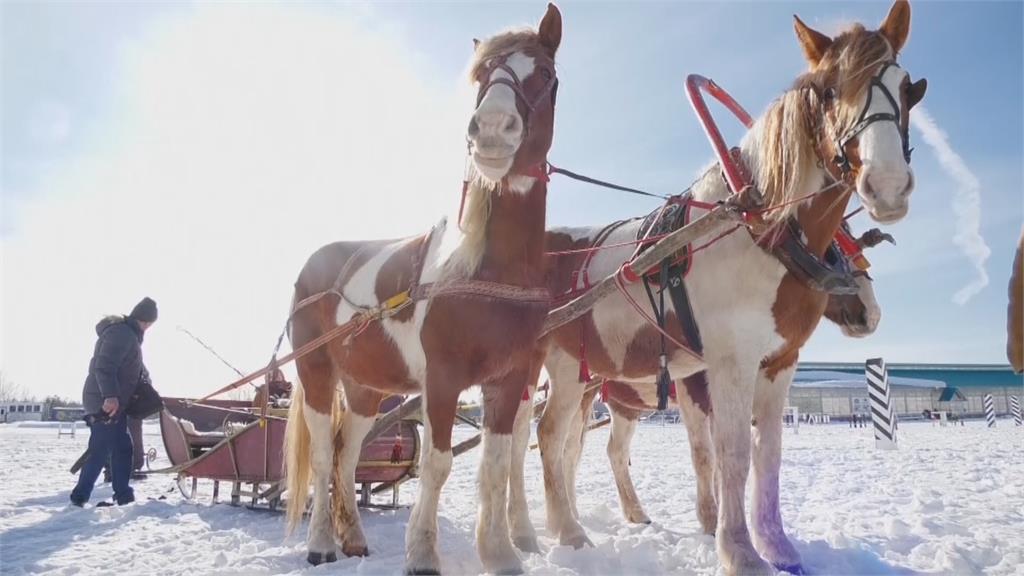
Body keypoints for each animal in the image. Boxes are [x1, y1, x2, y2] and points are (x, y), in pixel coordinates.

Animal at [284, 5, 565, 573]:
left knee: (348, 455)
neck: (488, 271)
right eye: (482, 76)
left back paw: (354, 538)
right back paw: (321, 543)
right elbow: (437, 464)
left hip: (366, 389)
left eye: (545, 73)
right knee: (324, 456)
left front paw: (501, 552)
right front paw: (422, 553)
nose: (491, 130)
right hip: (317, 371)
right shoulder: (443, 378)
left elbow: (495, 465)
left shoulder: (510, 380)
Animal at [524, 3, 925, 569]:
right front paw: (737, 549)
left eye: (907, 87)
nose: (887, 184)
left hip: (583, 378)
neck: (762, 232)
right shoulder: (725, 365)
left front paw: (777, 545)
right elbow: (727, 453)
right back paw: (563, 531)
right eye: (828, 90)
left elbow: (768, 454)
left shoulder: (777, 363)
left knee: (556, 444)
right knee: (546, 436)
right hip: (557, 368)